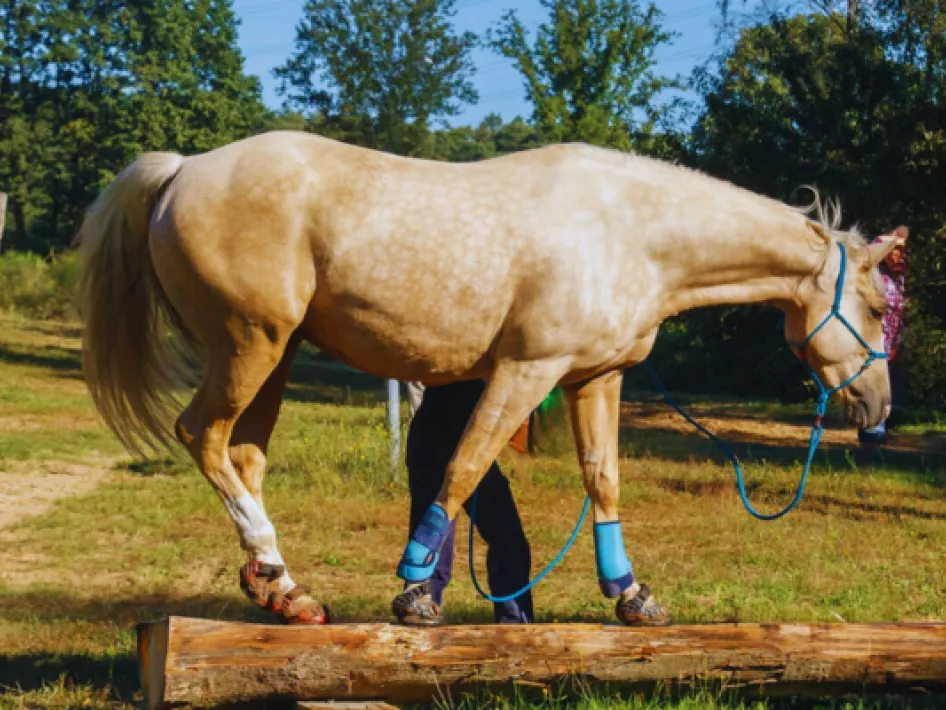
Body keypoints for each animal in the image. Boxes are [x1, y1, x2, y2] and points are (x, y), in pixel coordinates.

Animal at [76, 131, 896, 626]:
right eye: (876, 306)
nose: (879, 408)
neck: (630, 231)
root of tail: (183, 168)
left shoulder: (595, 380)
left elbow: (603, 483)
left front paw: (632, 596)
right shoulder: (526, 371)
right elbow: (462, 468)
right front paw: (414, 590)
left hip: (271, 357)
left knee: (242, 456)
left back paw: (283, 590)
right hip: (249, 346)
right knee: (202, 437)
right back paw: (277, 573)